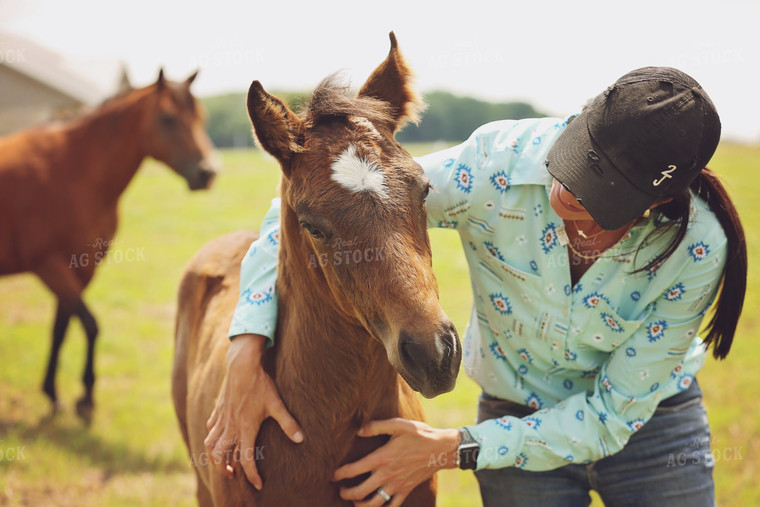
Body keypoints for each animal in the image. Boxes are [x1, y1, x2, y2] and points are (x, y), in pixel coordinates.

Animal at [0, 69, 220, 422]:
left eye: (201, 117)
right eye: (167, 119)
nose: (207, 172)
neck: (72, 172)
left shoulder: (81, 269)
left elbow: (61, 328)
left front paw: (53, 393)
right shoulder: (49, 267)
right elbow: (90, 325)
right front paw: (86, 398)